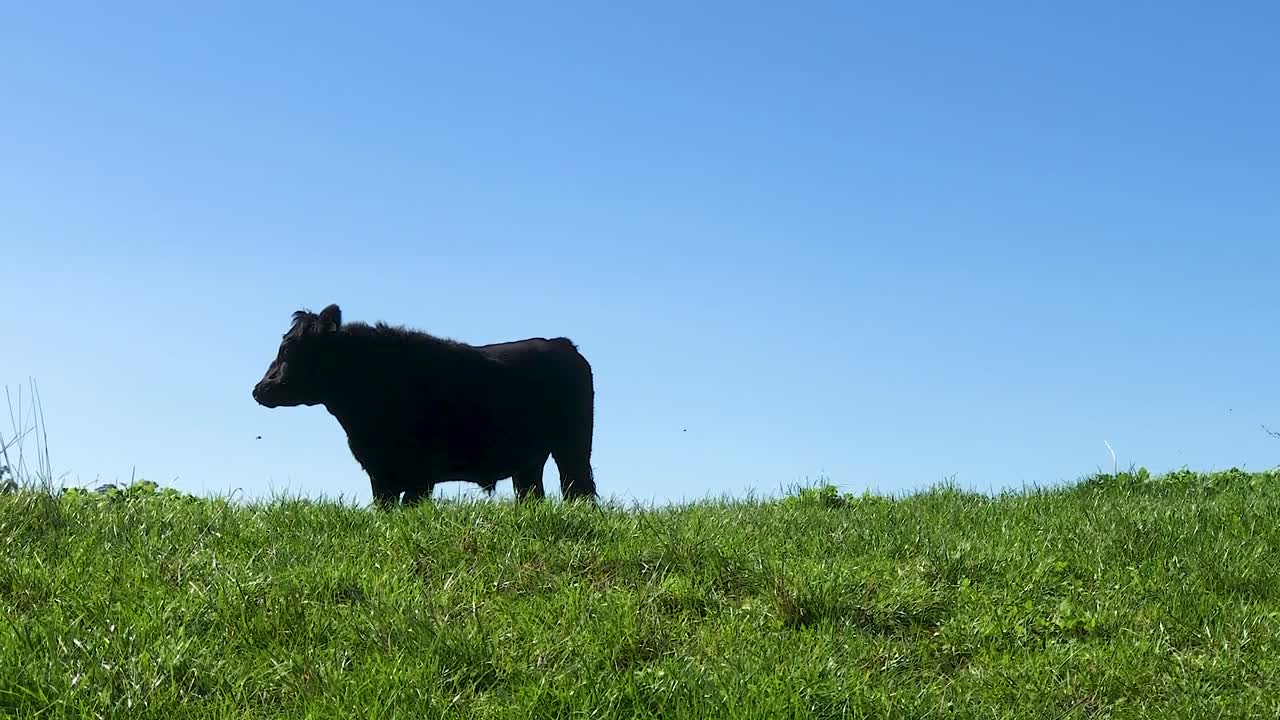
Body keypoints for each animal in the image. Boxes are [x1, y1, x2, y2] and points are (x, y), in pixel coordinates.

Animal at [251, 303, 597, 507]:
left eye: (287, 351)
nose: (259, 389)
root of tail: (562, 344)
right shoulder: (381, 474)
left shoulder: (420, 474)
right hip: (529, 461)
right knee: (533, 494)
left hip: (573, 446)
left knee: (578, 487)